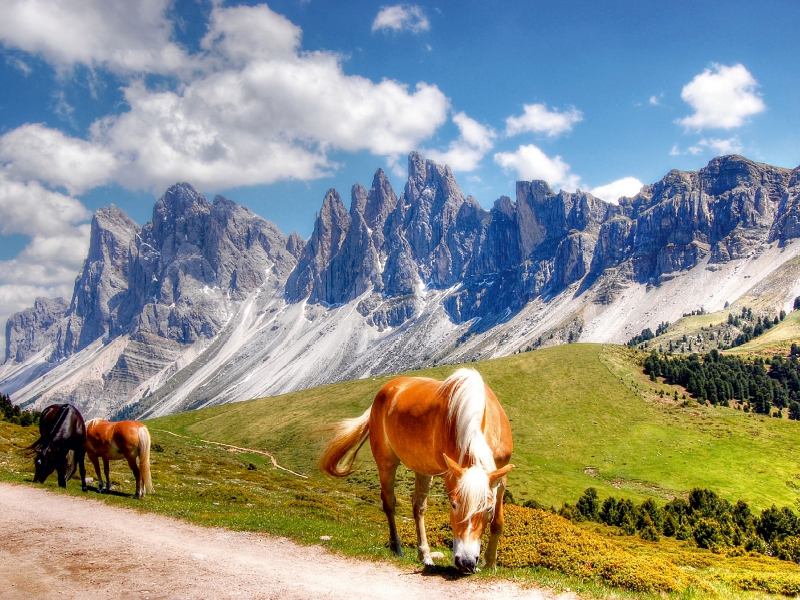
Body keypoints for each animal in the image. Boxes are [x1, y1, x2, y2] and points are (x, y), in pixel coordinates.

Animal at [318, 366, 512, 572]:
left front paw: (490, 564)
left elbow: (498, 522)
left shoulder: (500, 477)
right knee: (389, 503)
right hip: (386, 462)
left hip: (423, 470)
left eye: (488, 509)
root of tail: (386, 389)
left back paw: (424, 554)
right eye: (453, 504)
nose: (466, 562)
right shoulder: (450, 475)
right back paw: (397, 549)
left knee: (418, 507)